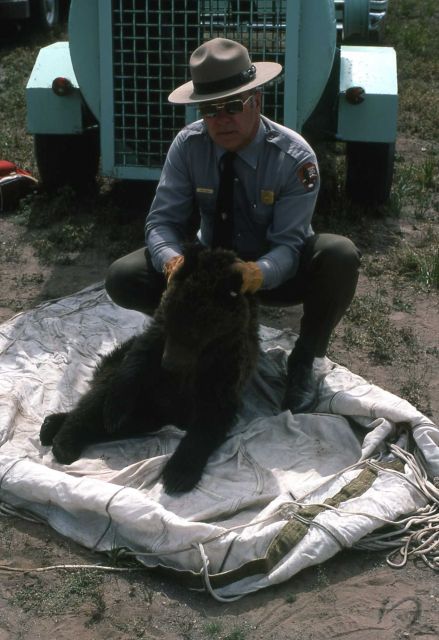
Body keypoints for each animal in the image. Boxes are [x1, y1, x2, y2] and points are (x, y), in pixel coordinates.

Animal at [40, 244, 260, 494]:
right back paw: (62, 437)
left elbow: (210, 419)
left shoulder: (226, 365)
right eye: (172, 324)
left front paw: (179, 474)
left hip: (155, 411)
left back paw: (53, 427)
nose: (169, 364)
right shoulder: (155, 341)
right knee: (98, 400)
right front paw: (114, 411)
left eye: (195, 332)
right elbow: (135, 365)